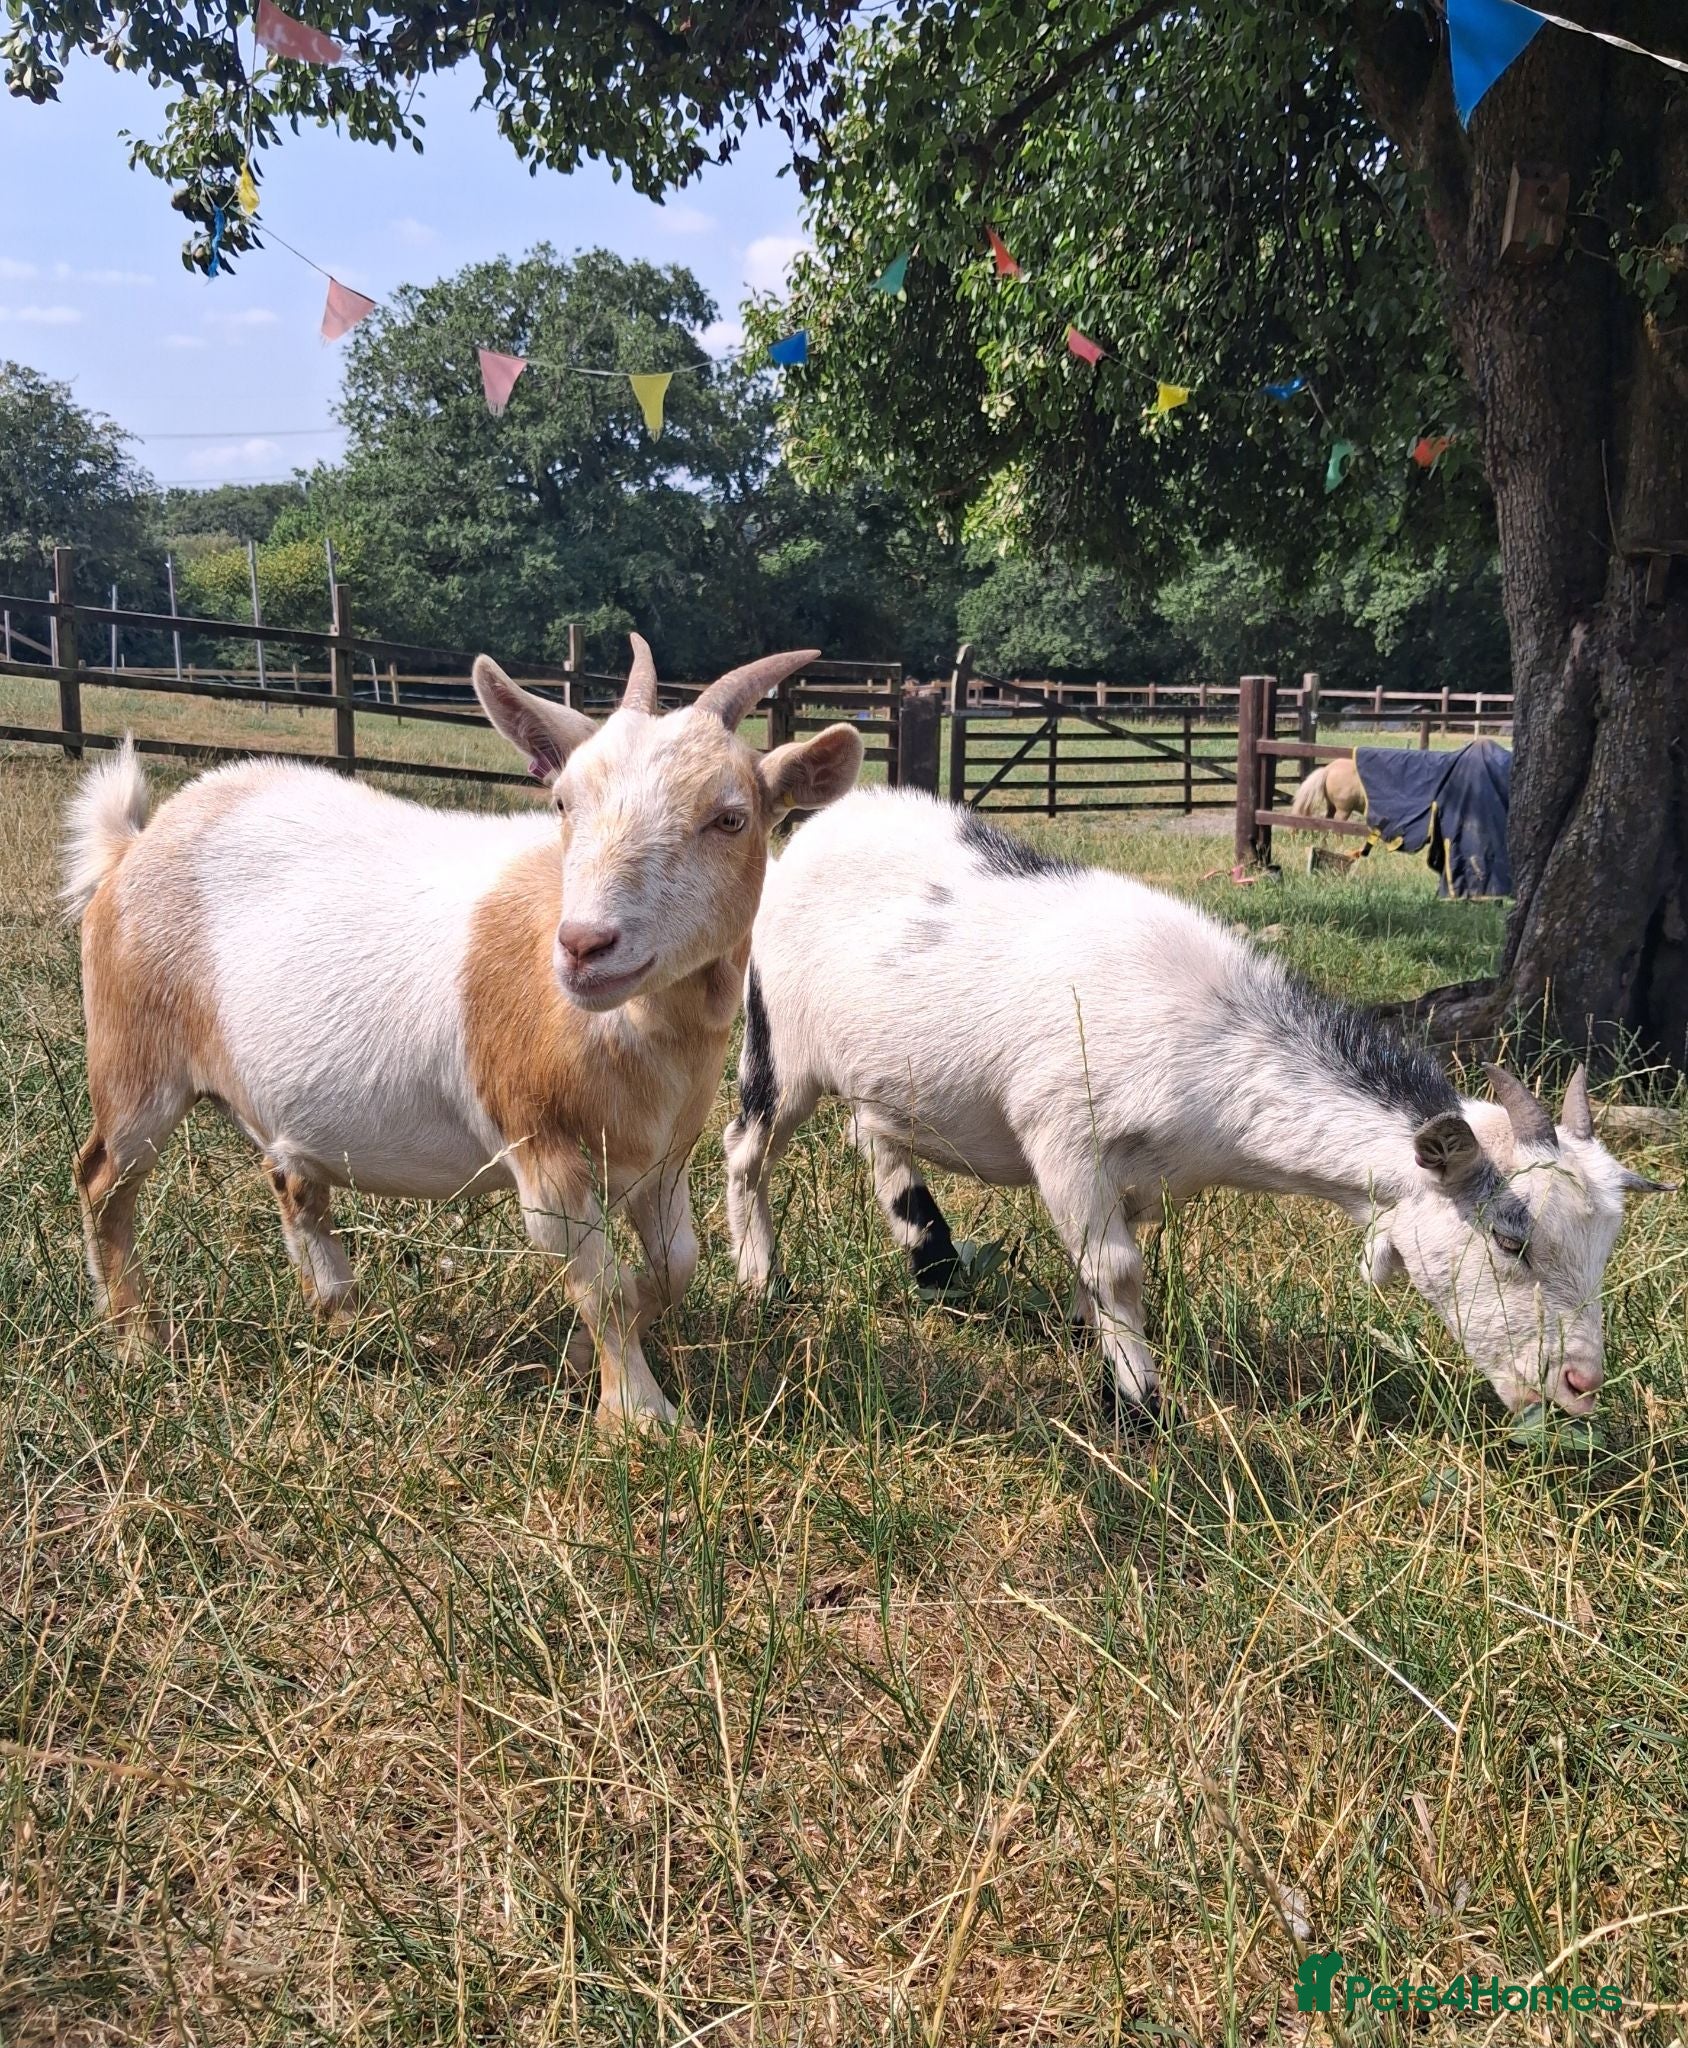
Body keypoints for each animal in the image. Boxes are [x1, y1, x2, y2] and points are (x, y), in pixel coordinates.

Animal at [64, 640, 862, 1429]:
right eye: (564, 802)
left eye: (729, 818)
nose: (583, 946)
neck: (630, 1032)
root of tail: (133, 844)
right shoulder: (540, 1147)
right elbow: (602, 1286)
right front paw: (640, 1417)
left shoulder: (662, 1158)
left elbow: (674, 1268)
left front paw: (582, 1359)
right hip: (135, 1052)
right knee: (103, 1176)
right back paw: (136, 1338)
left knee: (289, 1176)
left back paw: (342, 1313)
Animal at [725, 789, 1667, 1422]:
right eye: (1510, 1240)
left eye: (1608, 1246)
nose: (1581, 1385)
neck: (1216, 1037)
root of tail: (824, 822)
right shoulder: (1063, 1133)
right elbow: (1116, 1268)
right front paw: (1137, 1401)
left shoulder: (1146, 1179)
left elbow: (1104, 1267)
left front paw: (1091, 1342)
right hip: (777, 1038)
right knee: (747, 1147)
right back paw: (761, 1276)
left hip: (882, 1066)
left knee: (875, 1130)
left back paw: (931, 1255)